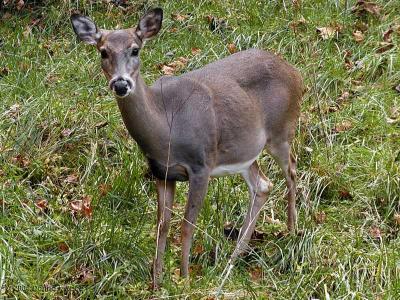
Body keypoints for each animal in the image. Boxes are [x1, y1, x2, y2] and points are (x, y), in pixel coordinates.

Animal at [71, 7, 304, 288]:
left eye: (135, 49)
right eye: (103, 51)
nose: (121, 84)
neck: (166, 127)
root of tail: (295, 72)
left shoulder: (200, 165)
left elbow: (186, 225)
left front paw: (184, 278)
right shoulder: (161, 173)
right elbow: (162, 225)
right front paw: (156, 282)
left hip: (282, 131)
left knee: (291, 171)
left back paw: (291, 233)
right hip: (245, 153)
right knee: (263, 185)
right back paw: (232, 261)